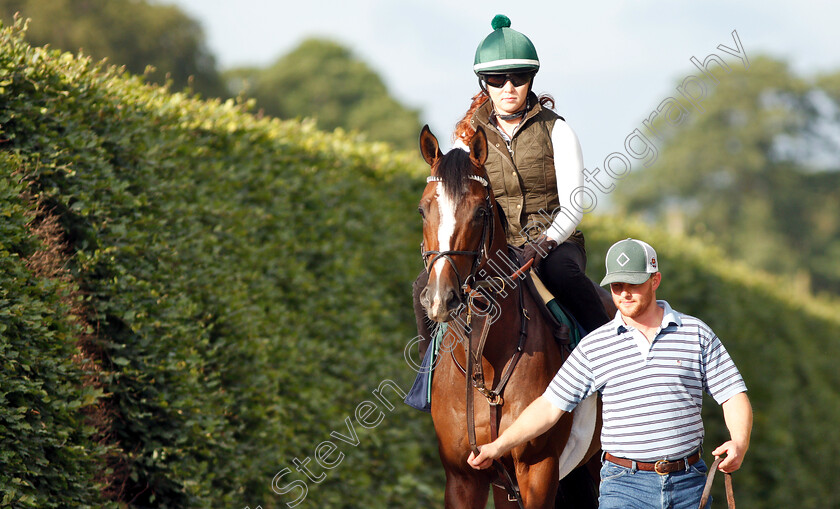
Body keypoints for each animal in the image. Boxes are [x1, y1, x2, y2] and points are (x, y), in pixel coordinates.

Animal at [420, 124, 612, 508]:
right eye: (422, 210)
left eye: (480, 212)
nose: (440, 298)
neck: (486, 361)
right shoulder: (464, 477)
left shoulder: (538, 469)